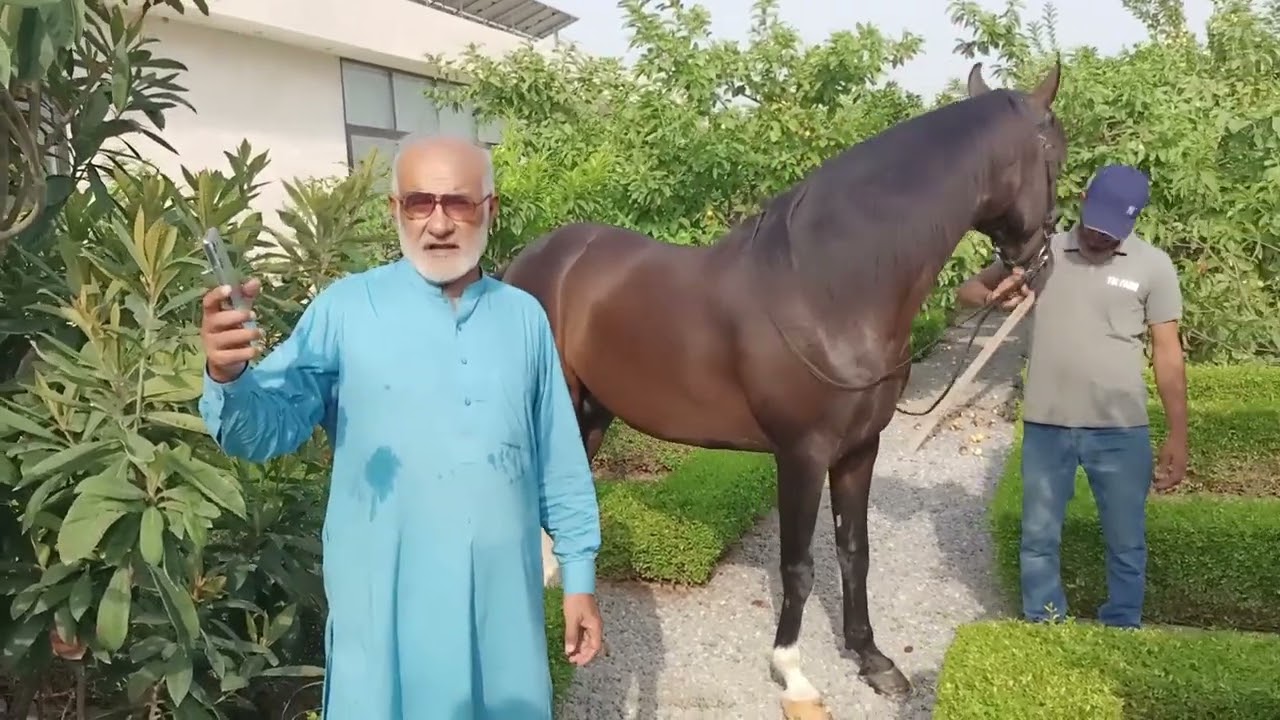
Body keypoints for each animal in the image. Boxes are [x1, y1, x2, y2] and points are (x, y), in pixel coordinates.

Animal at [501, 61, 1067, 718]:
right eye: (1057, 151)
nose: (1039, 264)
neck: (828, 287)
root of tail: (532, 258)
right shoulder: (802, 454)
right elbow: (798, 563)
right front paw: (793, 674)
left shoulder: (859, 449)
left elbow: (855, 552)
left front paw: (873, 660)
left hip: (591, 412)